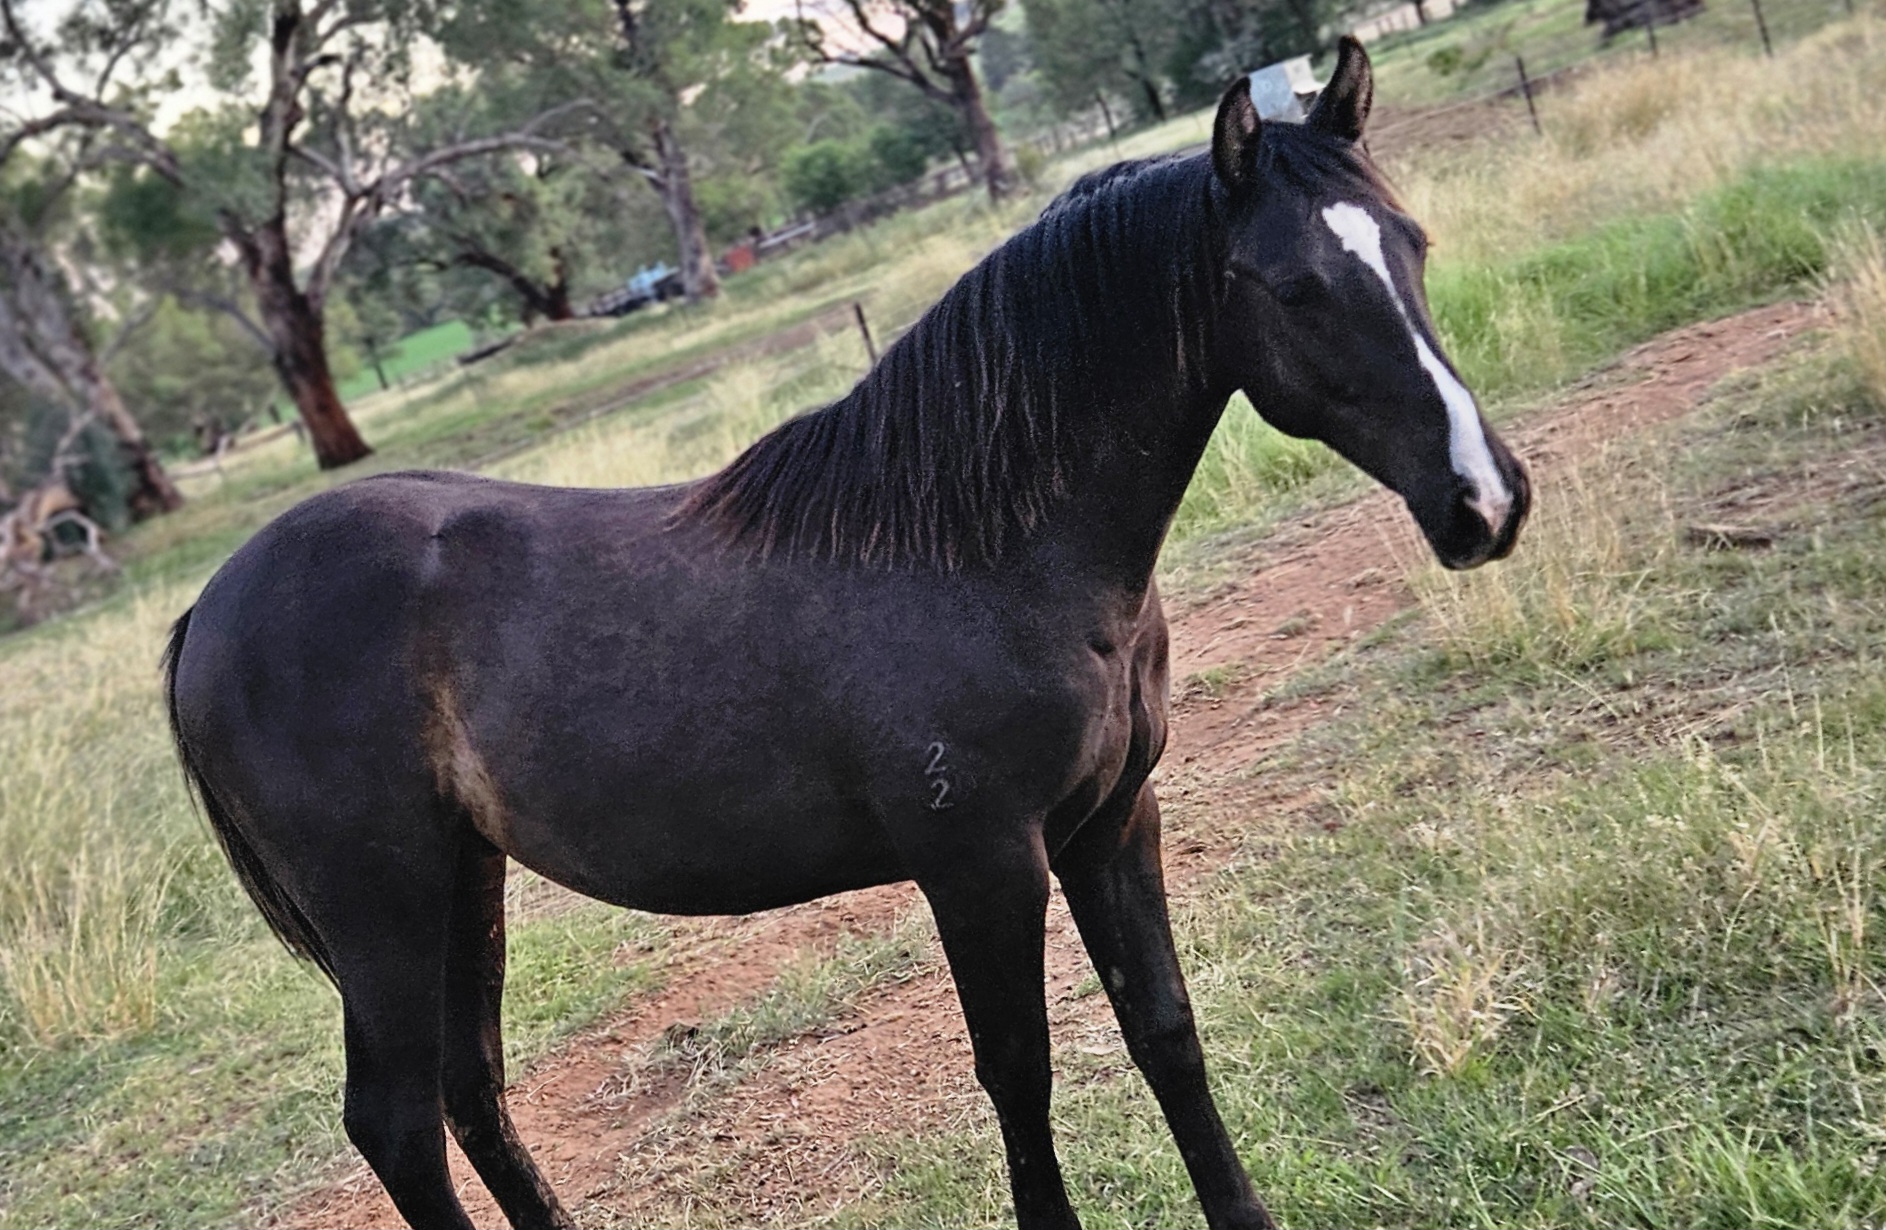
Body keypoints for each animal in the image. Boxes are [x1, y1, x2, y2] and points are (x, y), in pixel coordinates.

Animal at [163, 40, 1528, 1230]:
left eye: (1410, 242)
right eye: (1295, 287)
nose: (1485, 499)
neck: (984, 549)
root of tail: (211, 611)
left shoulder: (1111, 822)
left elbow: (1164, 1031)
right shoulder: (981, 864)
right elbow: (1017, 1078)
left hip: (462, 881)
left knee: (473, 1101)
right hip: (382, 914)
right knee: (398, 1126)